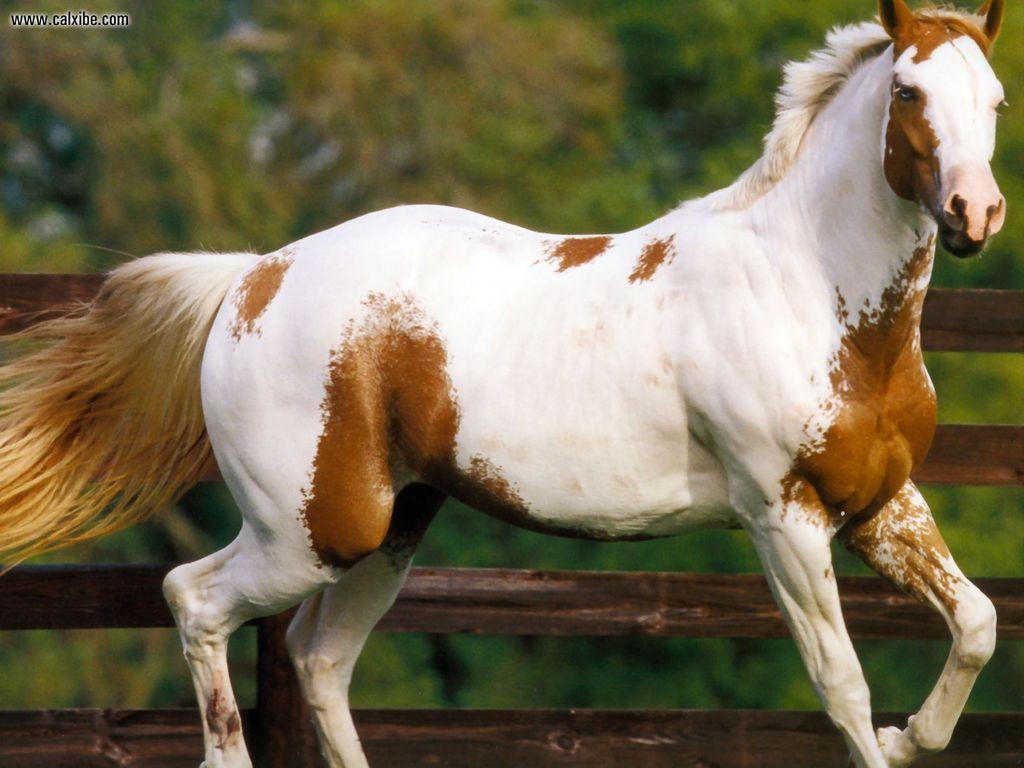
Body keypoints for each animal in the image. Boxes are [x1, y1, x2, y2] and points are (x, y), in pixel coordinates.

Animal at [0, 1, 1007, 766]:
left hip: (390, 530)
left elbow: (979, 622)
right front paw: (890, 730)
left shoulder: (880, 504)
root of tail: (252, 276)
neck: (811, 289)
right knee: (195, 599)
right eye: (909, 91)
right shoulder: (782, 518)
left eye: (994, 98)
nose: (976, 212)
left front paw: (914, 735)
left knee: (319, 659)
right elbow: (842, 686)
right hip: (311, 533)